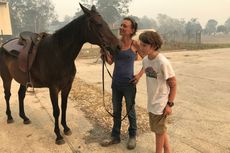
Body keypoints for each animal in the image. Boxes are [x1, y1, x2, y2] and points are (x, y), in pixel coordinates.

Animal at [0, 3, 118, 145]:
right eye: (97, 24)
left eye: (105, 22)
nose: (117, 45)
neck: (60, 53)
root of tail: (4, 44)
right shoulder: (53, 88)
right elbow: (56, 110)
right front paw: (58, 136)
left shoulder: (67, 86)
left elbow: (64, 106)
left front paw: (66, 128)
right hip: (6, 78)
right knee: (7, 95)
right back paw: (9, 117)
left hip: (23, 80)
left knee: (20, 95)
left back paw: (24, 117)